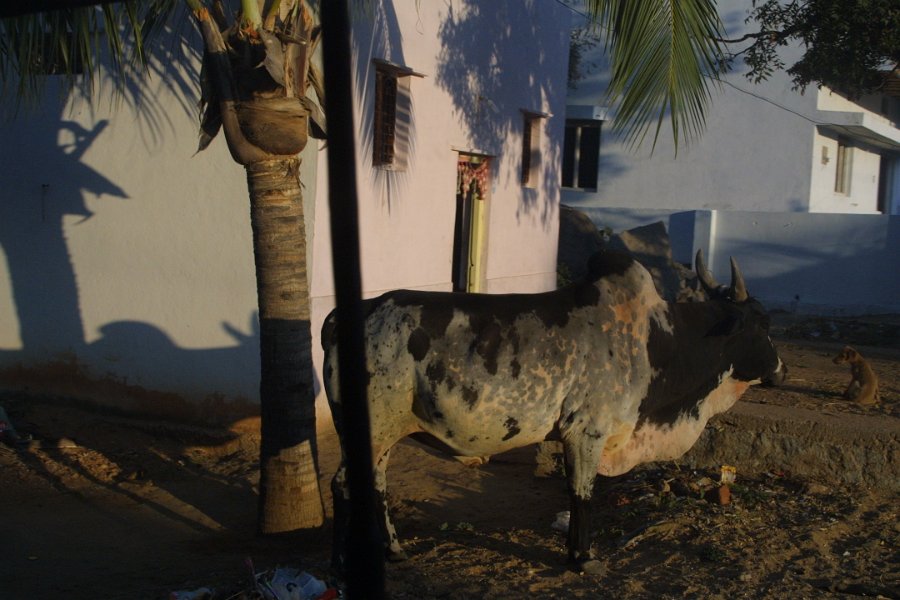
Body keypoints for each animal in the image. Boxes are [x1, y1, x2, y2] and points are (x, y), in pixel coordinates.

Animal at [323, 249, 785, 575]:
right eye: (762, 323)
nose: (782, 369)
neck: (656, 341)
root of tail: (348, 316)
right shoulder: (586, 432)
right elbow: (582, 494)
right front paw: (583, 557)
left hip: (384, 433)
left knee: (376, 485)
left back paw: (394, 551)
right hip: (374, 428)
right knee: (342, 485)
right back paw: (341, 564)